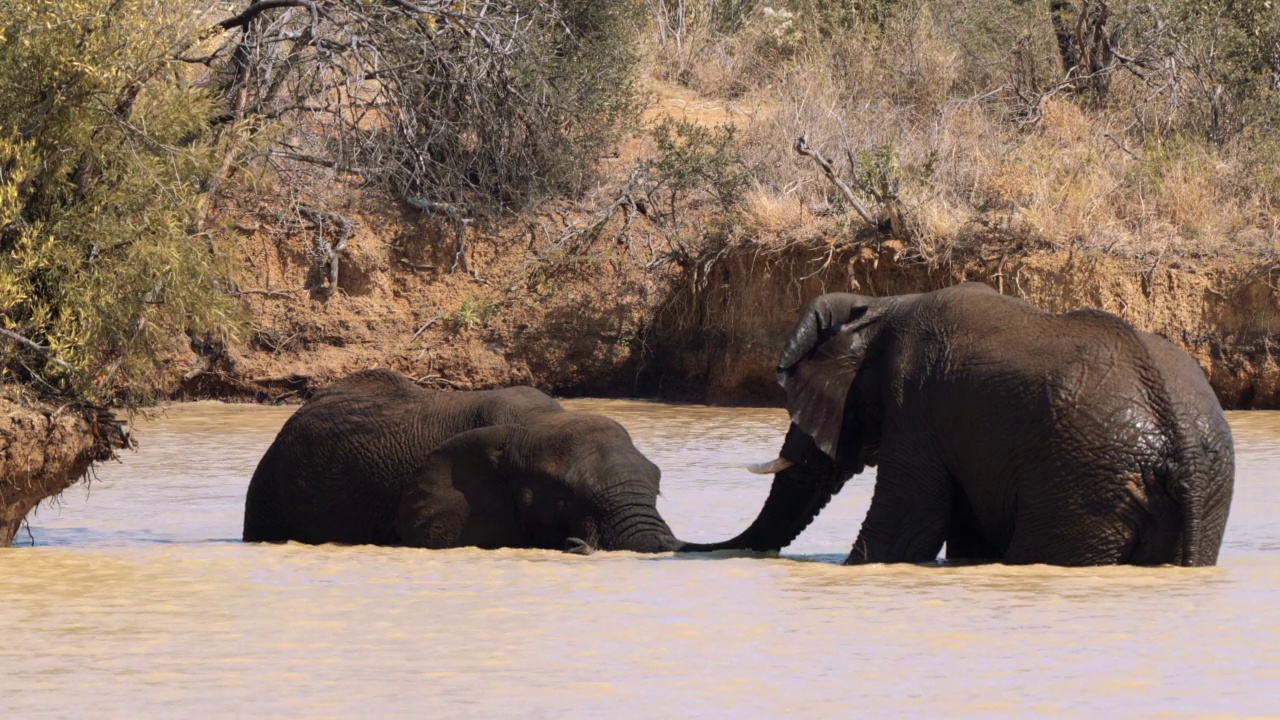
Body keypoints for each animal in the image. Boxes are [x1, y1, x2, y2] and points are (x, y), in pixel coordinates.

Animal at [686, 280, 1233, 566]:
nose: (679, 538)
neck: (883, 304)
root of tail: (1180, 442)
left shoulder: (915, 405)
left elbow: (909, 525)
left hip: (1082, 483)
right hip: (1205, 492)